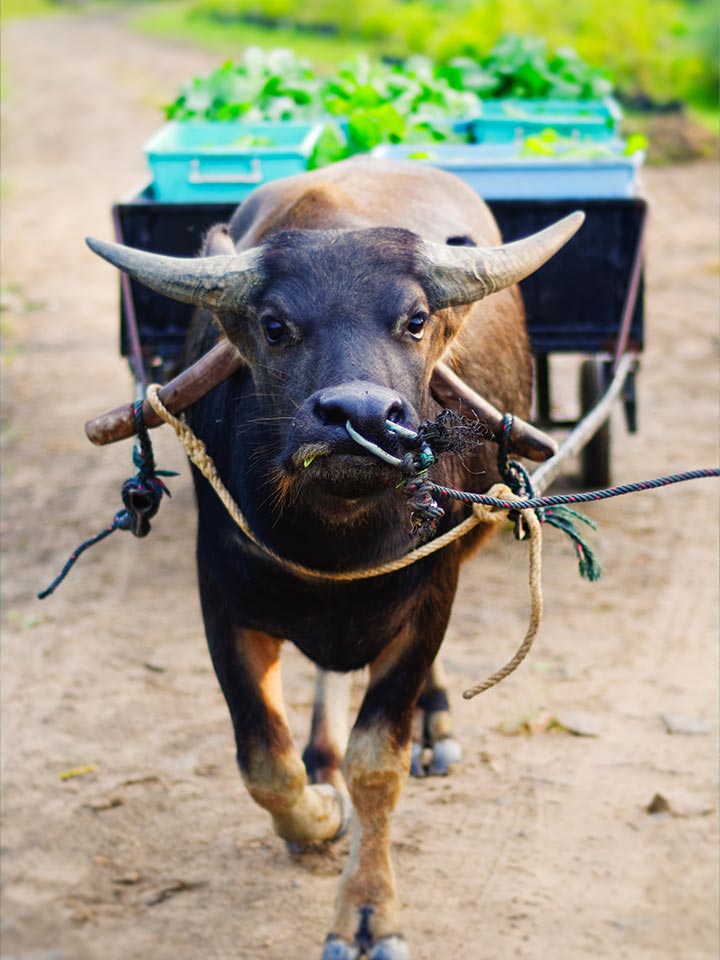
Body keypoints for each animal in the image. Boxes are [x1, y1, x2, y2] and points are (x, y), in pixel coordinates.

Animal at [87, 159, 584, 960]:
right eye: (275, 325)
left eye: (415, 319)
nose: (361, 417)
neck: (340, 528)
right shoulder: (222, 600)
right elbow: (264, 761)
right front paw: (318, 812)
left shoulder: (428, 600)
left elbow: (377, 762)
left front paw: (368, 911)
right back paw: (321, 757)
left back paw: (435, 728)